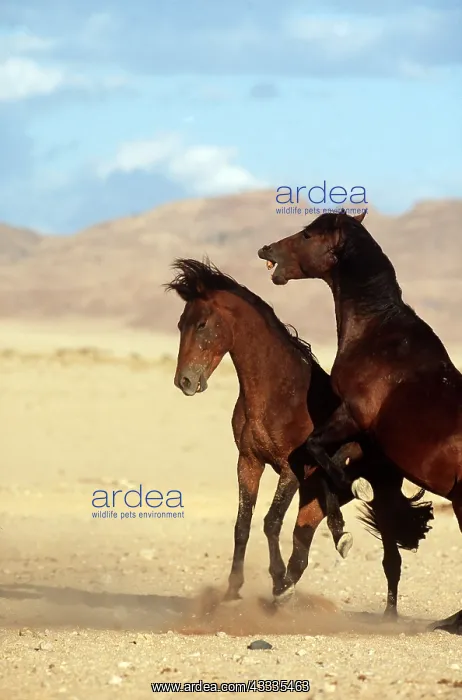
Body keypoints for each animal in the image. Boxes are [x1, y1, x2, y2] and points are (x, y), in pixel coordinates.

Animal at [165, 257, 433, 616]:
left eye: (203, 324)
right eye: (181, 323)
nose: (185, 381)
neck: (277, 393)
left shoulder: (290, 469)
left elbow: (270, 522)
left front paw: (277, 581)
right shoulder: (249, 462)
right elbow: (243, 525)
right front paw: (234, 590)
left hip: (382, 492)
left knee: (391, 559)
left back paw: (386, 615)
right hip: (315, 494)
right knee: (305, 542)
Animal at [258, 208, 462, 632]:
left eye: (307, 235)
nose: (266, 250)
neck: (378, 334)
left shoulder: (352, 415)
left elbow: (318, 454)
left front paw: (349, 508)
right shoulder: (362, 436)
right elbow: (326, 461)